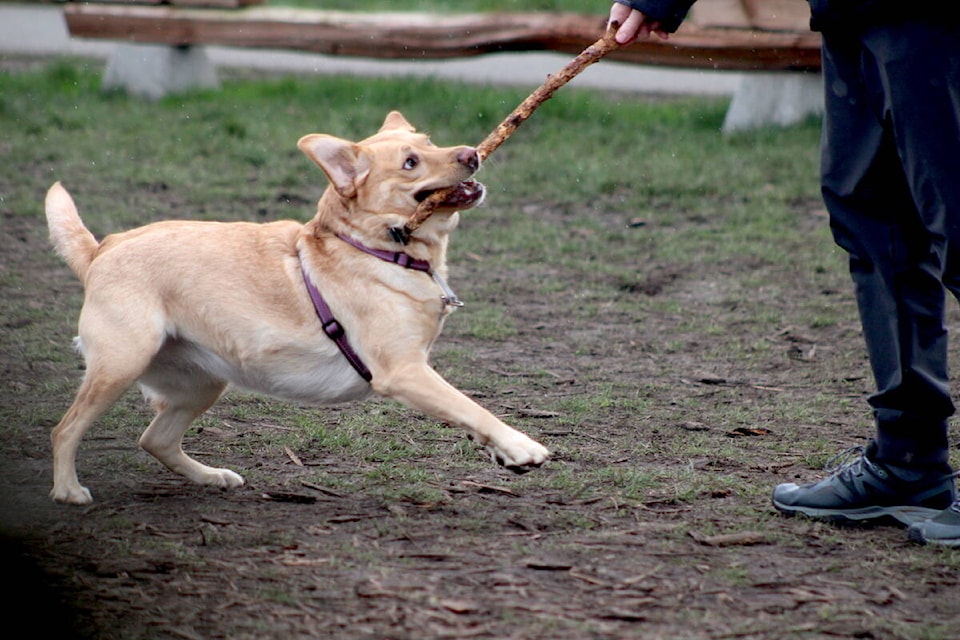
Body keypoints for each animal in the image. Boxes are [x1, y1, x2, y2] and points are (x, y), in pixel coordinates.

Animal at [45, 114, 552, 504]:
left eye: (430, 143)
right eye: (411, 162)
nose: (471, 154)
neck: (379, 250)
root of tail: (103, 248)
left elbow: (465, 414)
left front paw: (503, 454)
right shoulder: (404, 371)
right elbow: (473, 407)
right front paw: (523, 446)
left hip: (202, 382)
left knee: (155, 439)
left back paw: (212, 477)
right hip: (121, 364)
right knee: (65, 429)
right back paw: (68, 491)